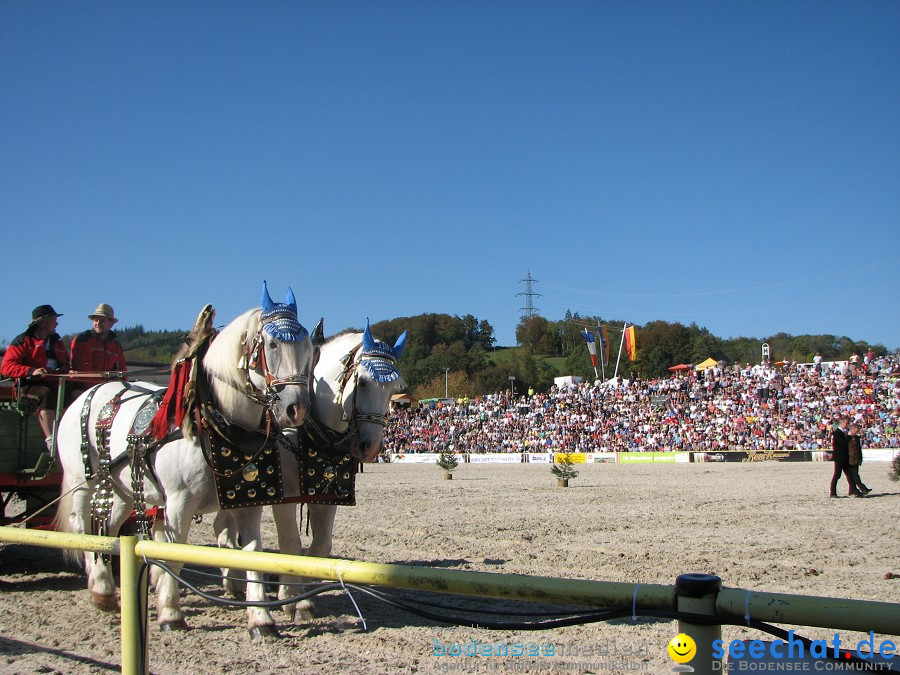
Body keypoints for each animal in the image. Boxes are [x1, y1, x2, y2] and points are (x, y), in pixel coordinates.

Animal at [54, 282, 316, 636]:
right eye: (273, 343)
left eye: (307, 346)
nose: (296, 408)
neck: (217, 422)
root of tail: (90, 391)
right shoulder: (179, 502)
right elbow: (174, 554)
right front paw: (170, 614)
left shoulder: (249, 500)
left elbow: (252, 554)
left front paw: (261, 620)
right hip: (83, 481)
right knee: (83, 528)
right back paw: (101, 587)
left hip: (124, 489)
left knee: (108, 530)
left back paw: (105, 591)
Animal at [216, 322, 406, 624]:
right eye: (363, 382)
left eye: (393, 390)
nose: (371, 447)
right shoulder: (282, 496)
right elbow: (290, 544)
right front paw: (293, 598)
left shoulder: (327, 494)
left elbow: (321, 547)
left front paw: (302, 589)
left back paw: (233, 580)